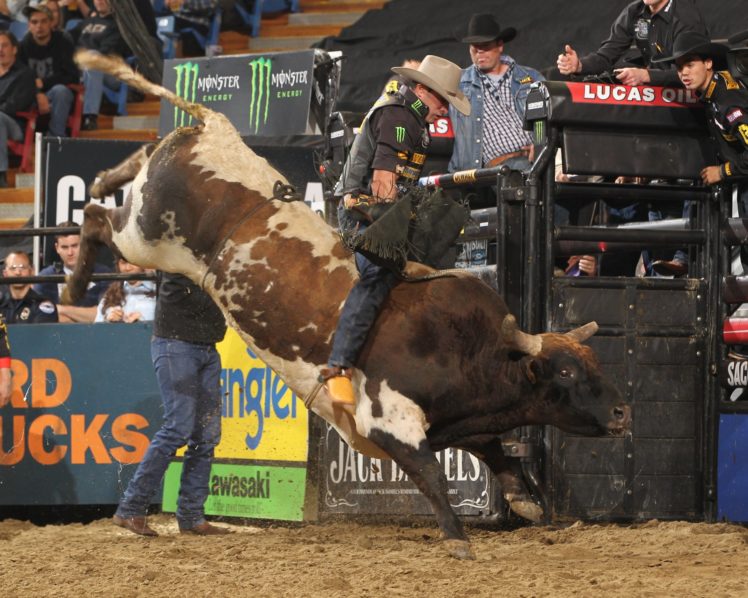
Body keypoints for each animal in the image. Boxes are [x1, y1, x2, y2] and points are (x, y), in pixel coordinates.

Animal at [65, 52, 632, 564]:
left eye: (595, 363)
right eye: (566, 371)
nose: (623, 412)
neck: (475, 351)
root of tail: (212, 126)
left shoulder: (466, 421)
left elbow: (495, 451)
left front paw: (524, 502)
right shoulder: (389, 420)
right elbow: (433, 476)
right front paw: (458, 538)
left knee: (130, 167)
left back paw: (105, 181)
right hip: (144, 236)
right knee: (95, 216)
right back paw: (74, 283)